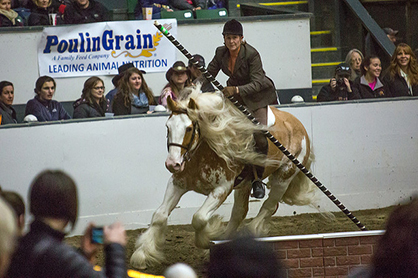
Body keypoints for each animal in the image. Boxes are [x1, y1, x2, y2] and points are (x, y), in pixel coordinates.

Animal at [131, 87, 316, 270]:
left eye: (189, 128)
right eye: (168, 127)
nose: (172, 164)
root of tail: (298, 125)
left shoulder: (221, 189)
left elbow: (199, 218)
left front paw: (206, 240)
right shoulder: (177, 183)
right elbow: (159, 215)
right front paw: (143, 254)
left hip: (284, 178)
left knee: (269, 206)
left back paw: (249, 231)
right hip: (245, 185)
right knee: (239, 212)